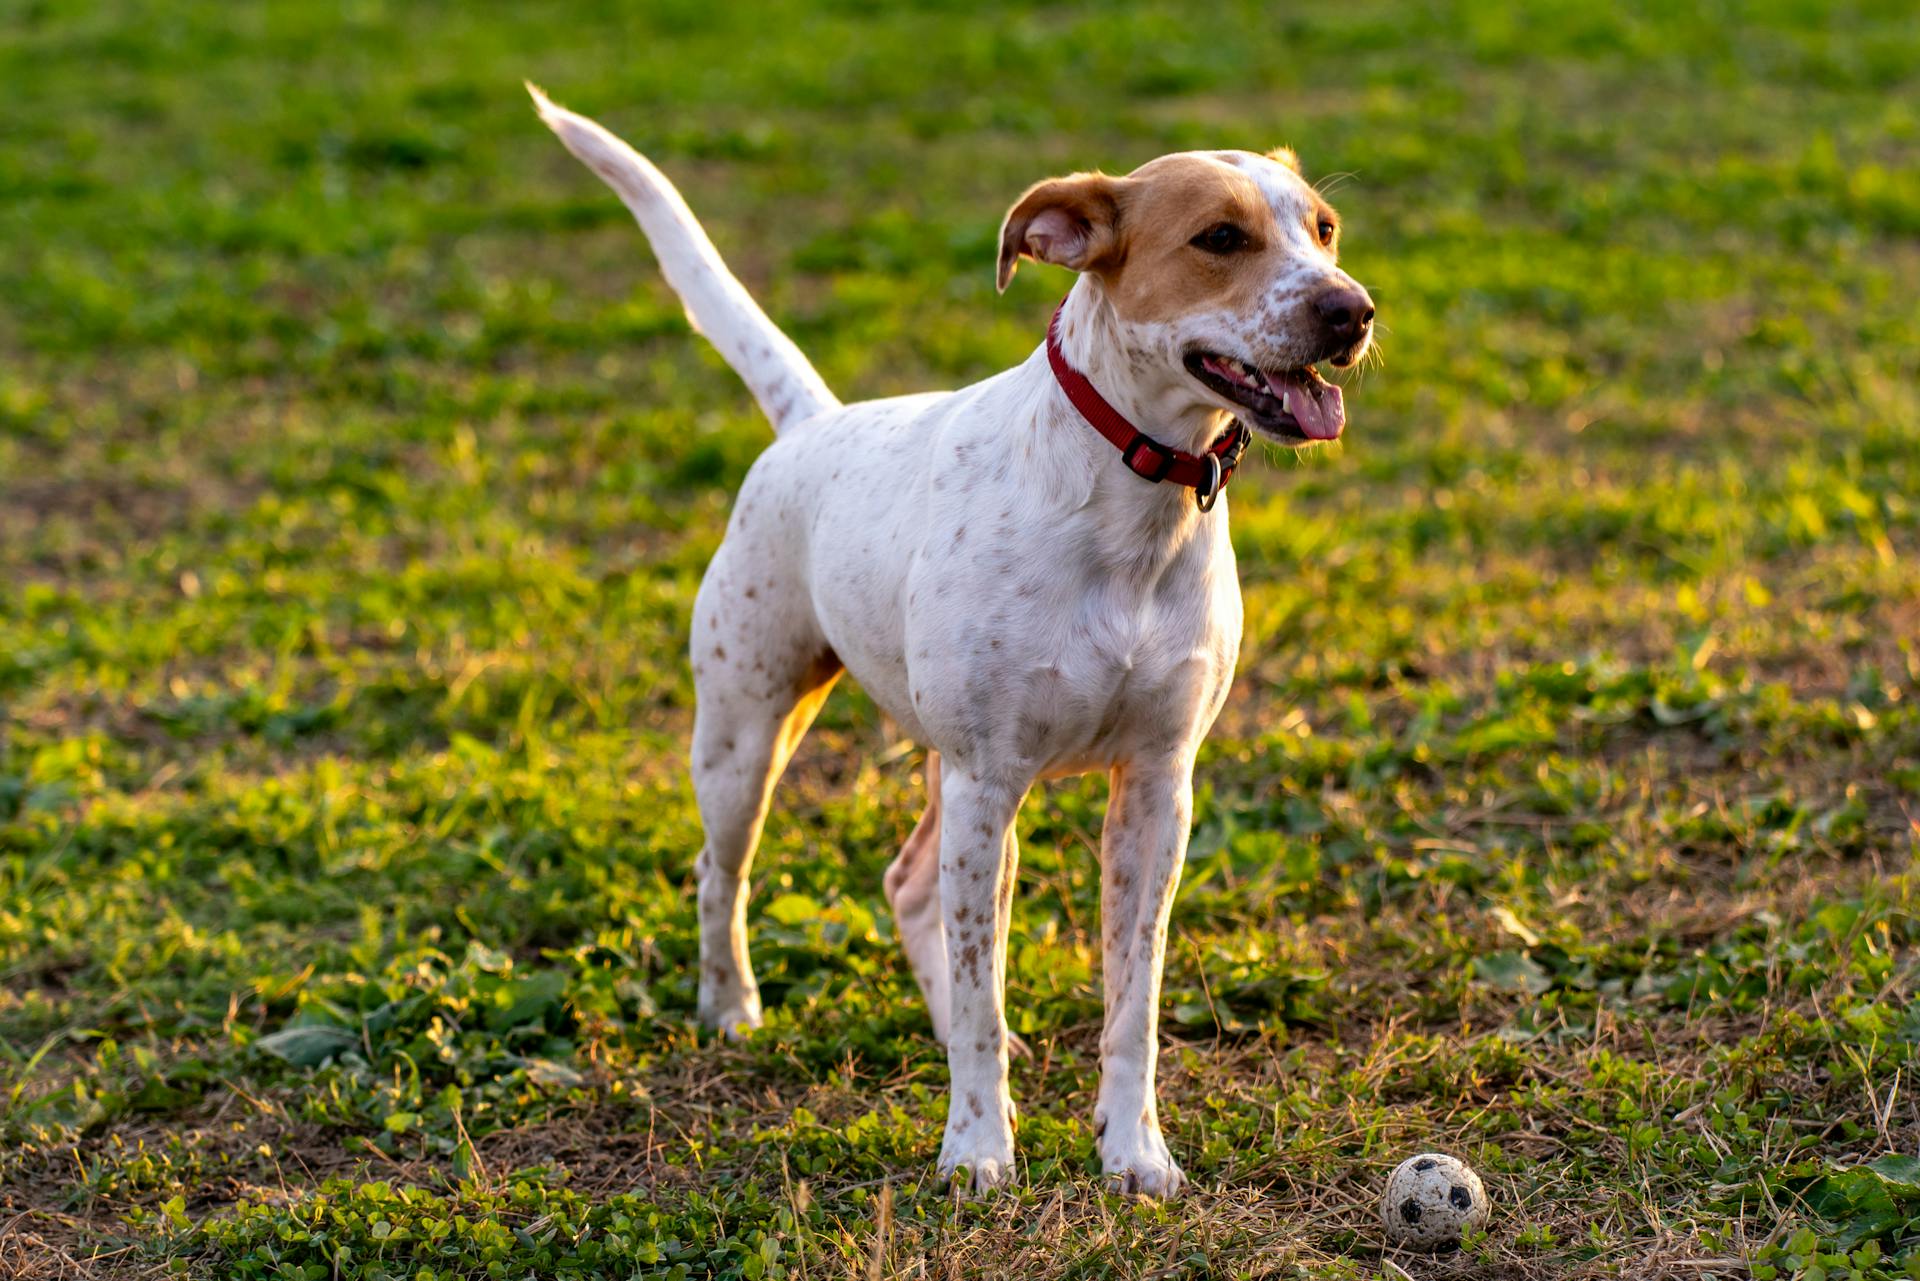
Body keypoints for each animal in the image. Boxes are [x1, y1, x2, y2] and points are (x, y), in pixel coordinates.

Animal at [529, 84, 1367, 1198]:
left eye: (1324, 230)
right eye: (1219, 239)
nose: (1352, 311)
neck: (1133, 501)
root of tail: (813, 422)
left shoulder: (1155, 788)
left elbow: (1132, 1003)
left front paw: (1133, 1151)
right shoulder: (987, 778)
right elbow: (980, 986)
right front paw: (976, 1150)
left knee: (909, 883)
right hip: (750, 737)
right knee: (723, 871)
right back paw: (732, 1008)